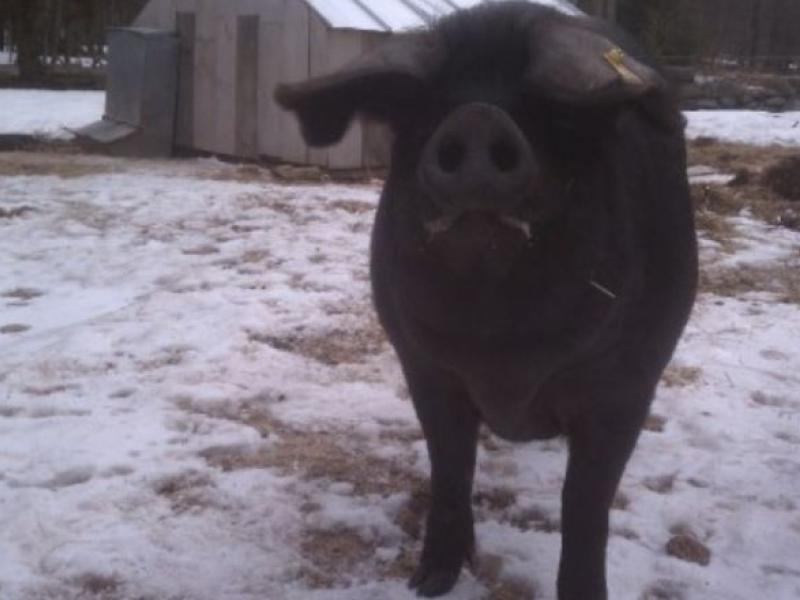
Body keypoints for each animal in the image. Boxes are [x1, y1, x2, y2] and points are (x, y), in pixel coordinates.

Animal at [276, 2, 697, 598]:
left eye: (557, 112)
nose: (476, 116)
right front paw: (428, 582)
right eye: (422, 109)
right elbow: (450, 468)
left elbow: (585, 504)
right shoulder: (425, 366)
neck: (501, 347)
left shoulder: (627, 387)